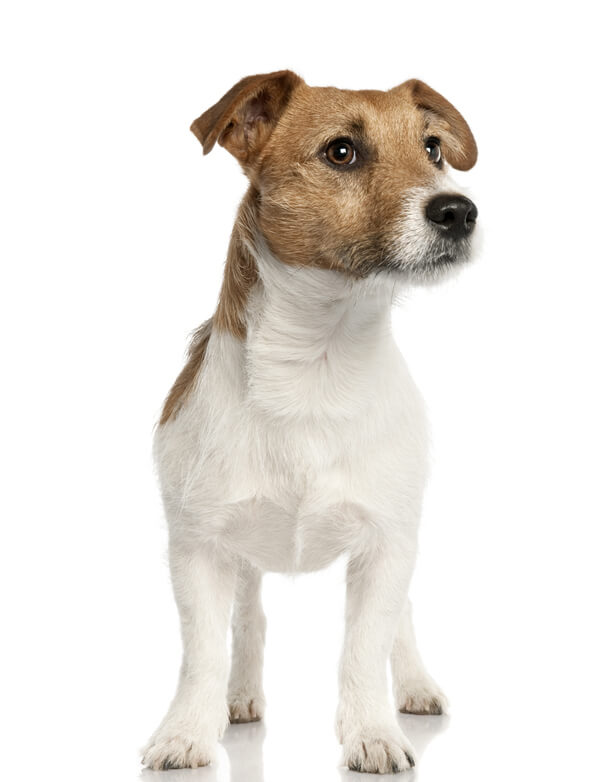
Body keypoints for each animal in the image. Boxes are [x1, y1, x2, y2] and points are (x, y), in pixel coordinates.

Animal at [142, 69, 478, 776]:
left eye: (433, 148)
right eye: (340, 152)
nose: (459, 211)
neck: (316, 367)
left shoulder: (385, 545)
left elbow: (365, 647)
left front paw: (372, 732)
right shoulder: (197, 550)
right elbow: (203, 652)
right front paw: (187, 733)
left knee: (401, 621)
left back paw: (414, 686)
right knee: (248, 622)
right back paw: (238, 698)